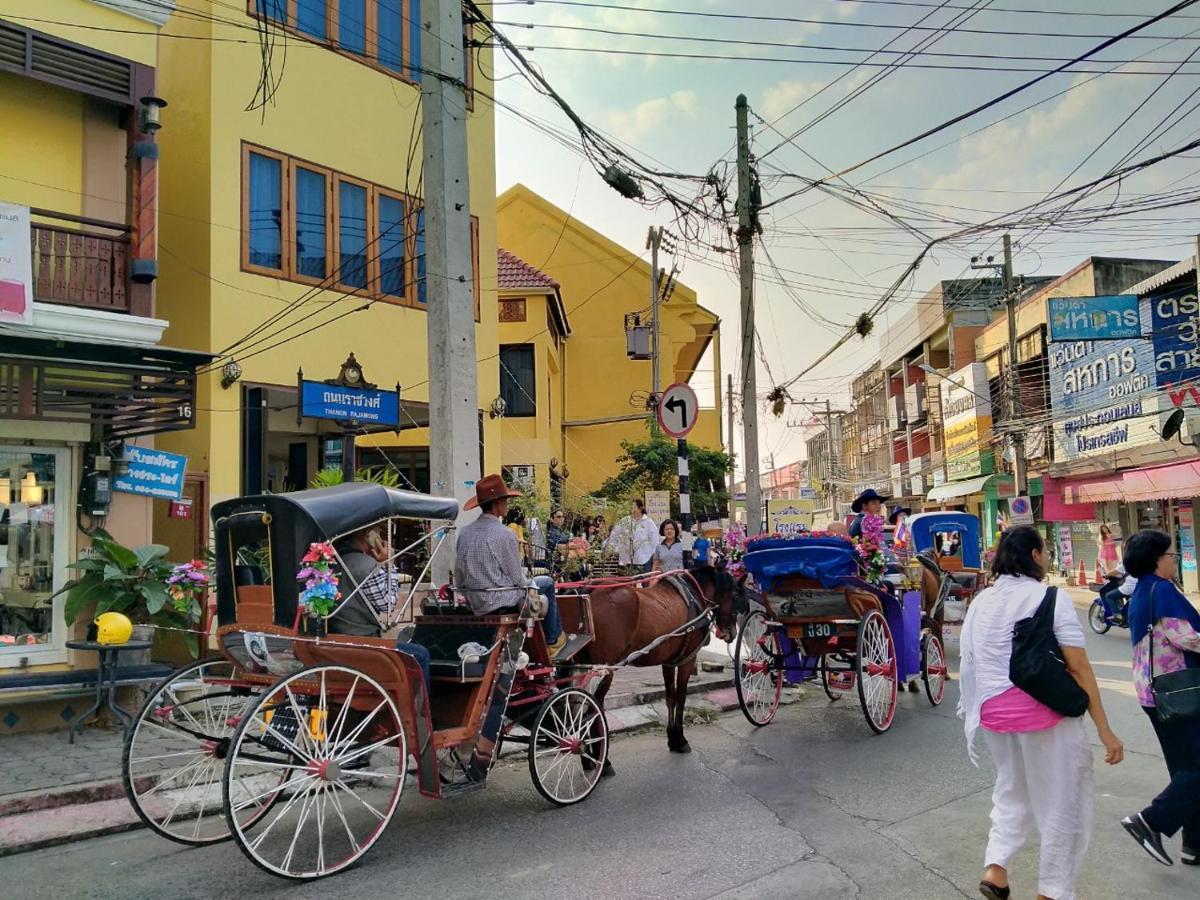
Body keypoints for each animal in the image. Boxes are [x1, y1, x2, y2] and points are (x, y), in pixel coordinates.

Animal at [573, 564, 734, 768]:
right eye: (735, 593)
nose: (731, 632)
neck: (693, 593)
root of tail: (589, 590)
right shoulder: (687, 660)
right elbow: (681, 697)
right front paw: (680, 739)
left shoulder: (669, 661)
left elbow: (670, 697)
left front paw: (673, 739)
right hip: (604, 670)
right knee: (591, 708)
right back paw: (599, 760)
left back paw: (587, 757)